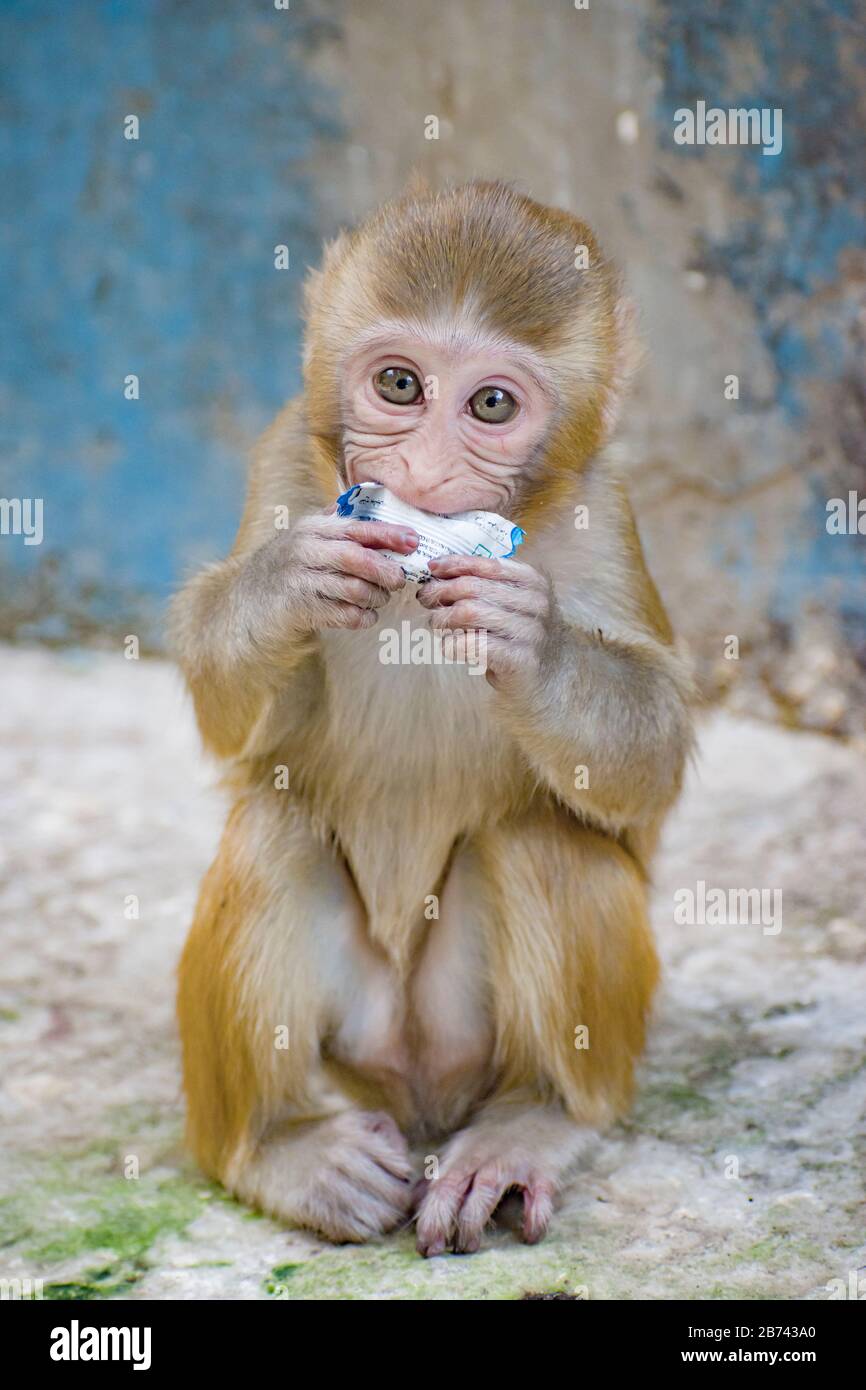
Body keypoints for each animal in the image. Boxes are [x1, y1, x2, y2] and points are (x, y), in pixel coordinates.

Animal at [173, 179, 695, 1256]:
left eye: (490, 404)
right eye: (399, 385)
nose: (416, 470)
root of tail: (417, 1093)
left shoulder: (606, 509)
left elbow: (648, 764)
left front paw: (530, 644)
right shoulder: (286, 460)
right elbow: (234, 719)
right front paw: (287, 583)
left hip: (479, 1037)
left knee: (541, 838)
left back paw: (531, 1125)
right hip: (356, 1049)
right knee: (272, 828)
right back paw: (279, 1147)